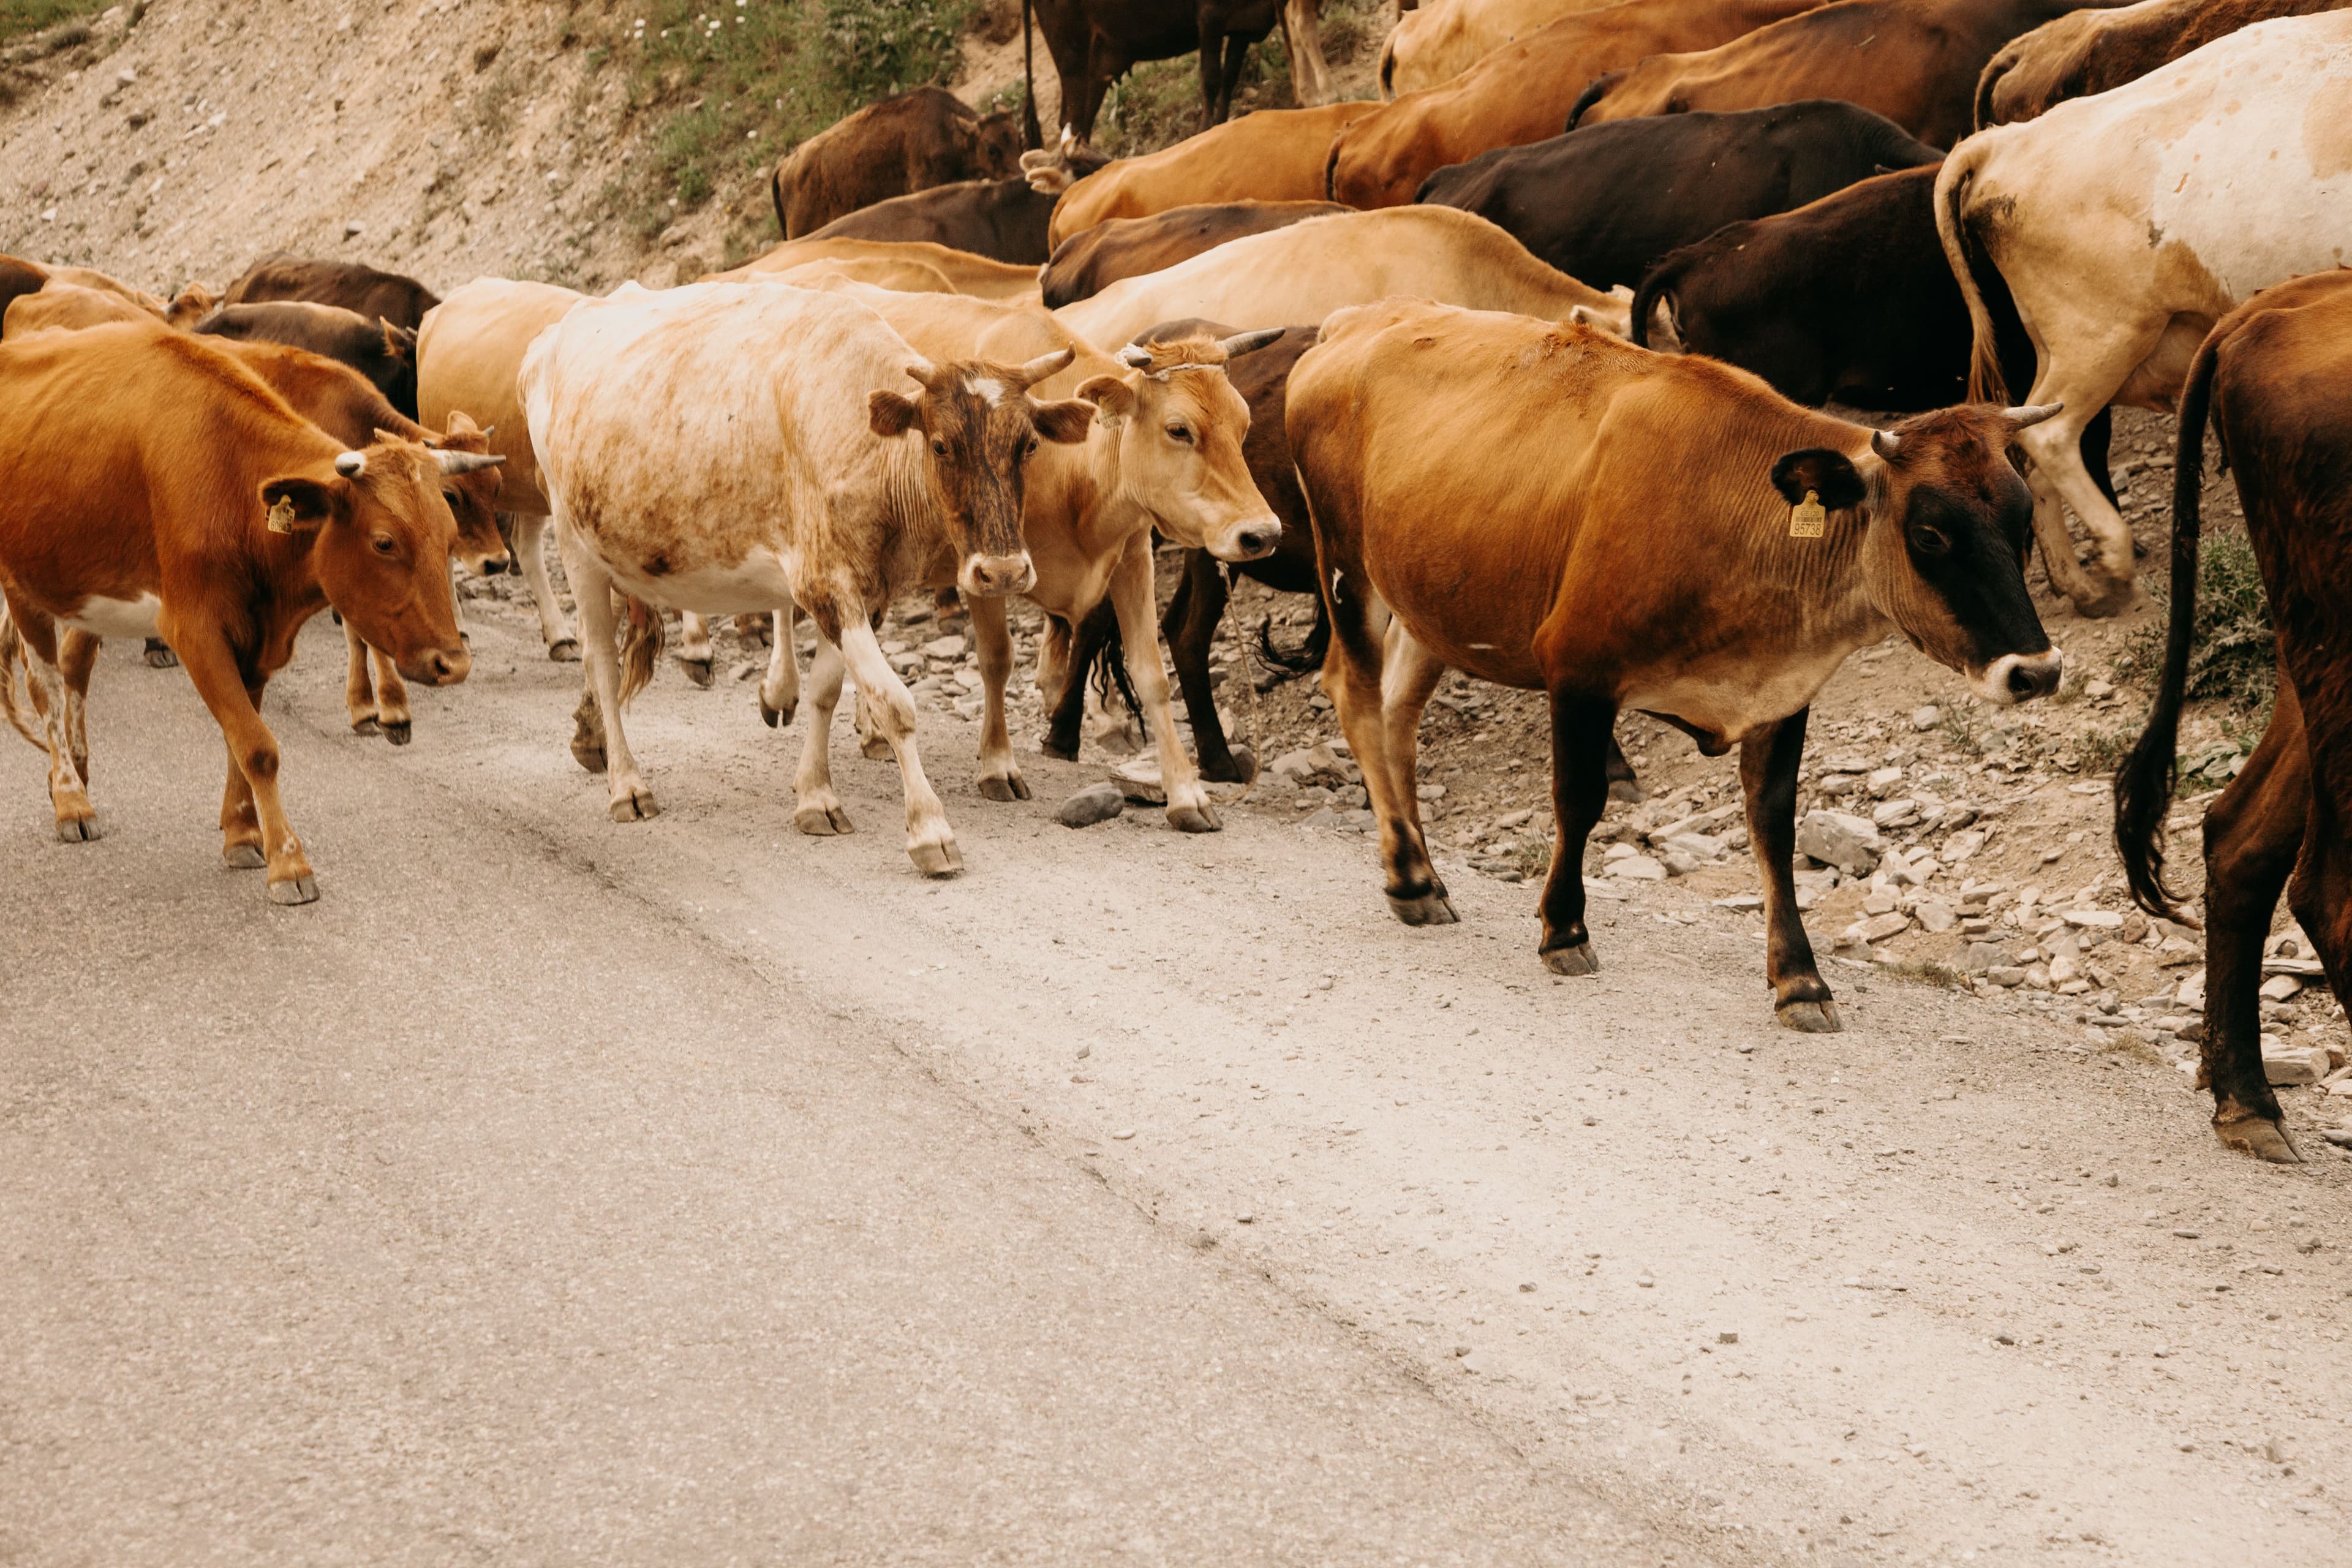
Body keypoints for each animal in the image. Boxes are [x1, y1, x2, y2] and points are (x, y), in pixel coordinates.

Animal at [0, 320, 472, 902]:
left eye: (450, 537)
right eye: (384, 542)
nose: (455, 663)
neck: (232, 478)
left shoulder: (256, 636)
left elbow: (239, 738)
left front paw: (244, 832)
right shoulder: (194, 629)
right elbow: (258, 745)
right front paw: (289, 862)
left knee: (74, 670)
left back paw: (77, 774)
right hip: (21, 583)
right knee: (44, 684)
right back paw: (70, 798)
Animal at [519, 283, 1097, 871]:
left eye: (1029, 445)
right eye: (940, 445)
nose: (1002, 571)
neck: (866, 444)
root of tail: (552, 337)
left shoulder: (863, 591)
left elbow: (826, 692)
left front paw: (816, 796)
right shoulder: (827, 584)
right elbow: (895, 704)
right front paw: (929, 829)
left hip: (615, 546)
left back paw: (590, 739)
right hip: (573, 542)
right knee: (602, 661)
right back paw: (627, 786)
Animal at [1022, 1, 1333, 142]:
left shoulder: (1242, 29)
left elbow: (1229, 79)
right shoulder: (1210, 19)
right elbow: (1211, 79)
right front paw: (1205, 130)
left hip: (1097, 69)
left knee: (1078, 124)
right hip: (1072, 58)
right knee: (1073, 122)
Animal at [1288, 298, 2064, 1025]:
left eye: (2024, 519)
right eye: (1930, 534)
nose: (2037, 670)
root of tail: (1357, 319)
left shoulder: (1783, 692)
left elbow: (1773, 825)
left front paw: (1800, 979)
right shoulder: (1577, 667)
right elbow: (1580, 799)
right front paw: (1564, 929)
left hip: (1430, 602)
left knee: (1397, 715)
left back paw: (1423, 871)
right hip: (1345, 565)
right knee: (1356, 696)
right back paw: (1411, 880)